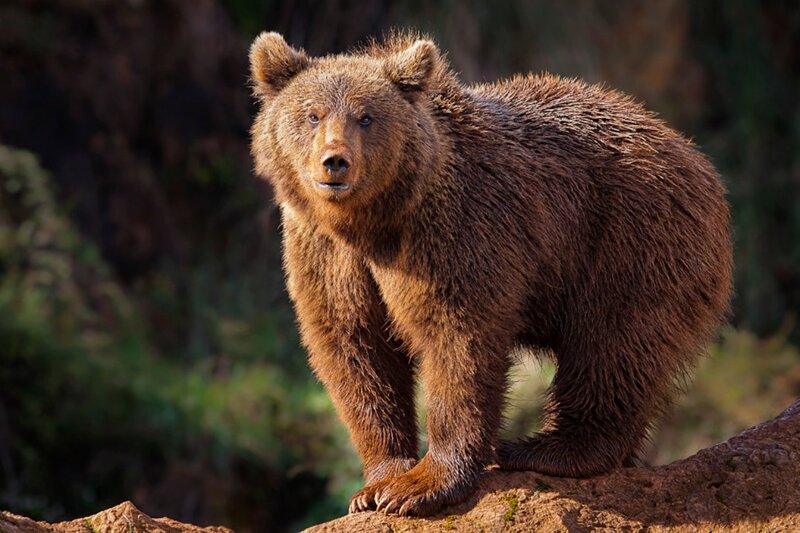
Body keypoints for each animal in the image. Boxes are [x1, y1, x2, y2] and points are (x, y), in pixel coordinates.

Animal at [248, 31, 733, 517]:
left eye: (366, 117)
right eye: (312, 114)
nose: (335, 162)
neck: (373, 222)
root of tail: (695, 157)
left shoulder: (455, 234)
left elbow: (458, 341)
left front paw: (421, 485)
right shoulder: (326, 254)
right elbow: (355, 347)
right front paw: (377, 484)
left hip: (629, 242)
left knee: (612, 344)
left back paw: (542, 448)